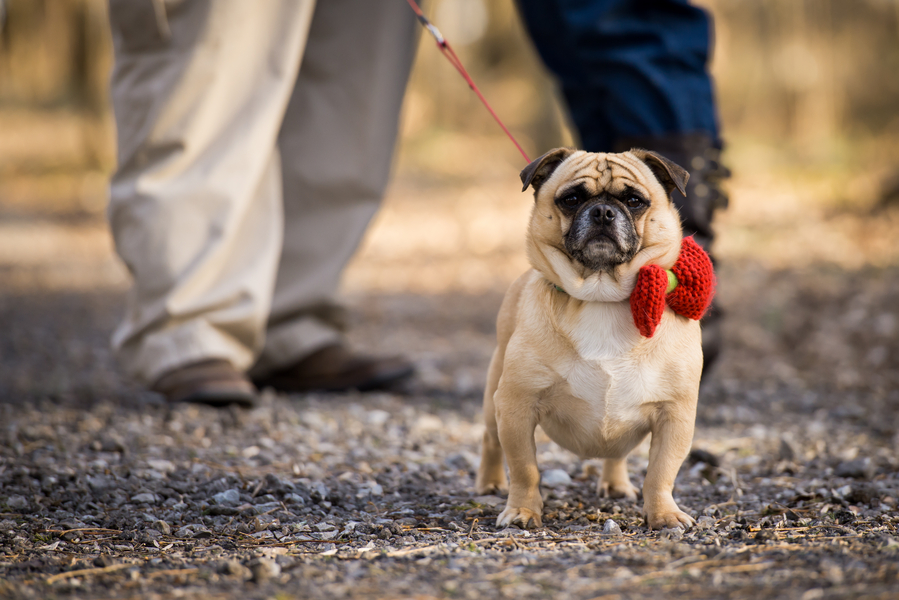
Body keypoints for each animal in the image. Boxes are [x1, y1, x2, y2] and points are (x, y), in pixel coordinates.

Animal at [474, 149, 708, 528]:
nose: (602, 211)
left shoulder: (675, 415)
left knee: (616, 454)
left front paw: (664, 514)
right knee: (490, 440)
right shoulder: (516, 406)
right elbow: (525, 469)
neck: (602, 297)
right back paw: (490, 482)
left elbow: (661, 473)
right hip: (494, 401)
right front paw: (523, 510)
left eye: (634, 200)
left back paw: (615, 484)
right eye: (571, 199)